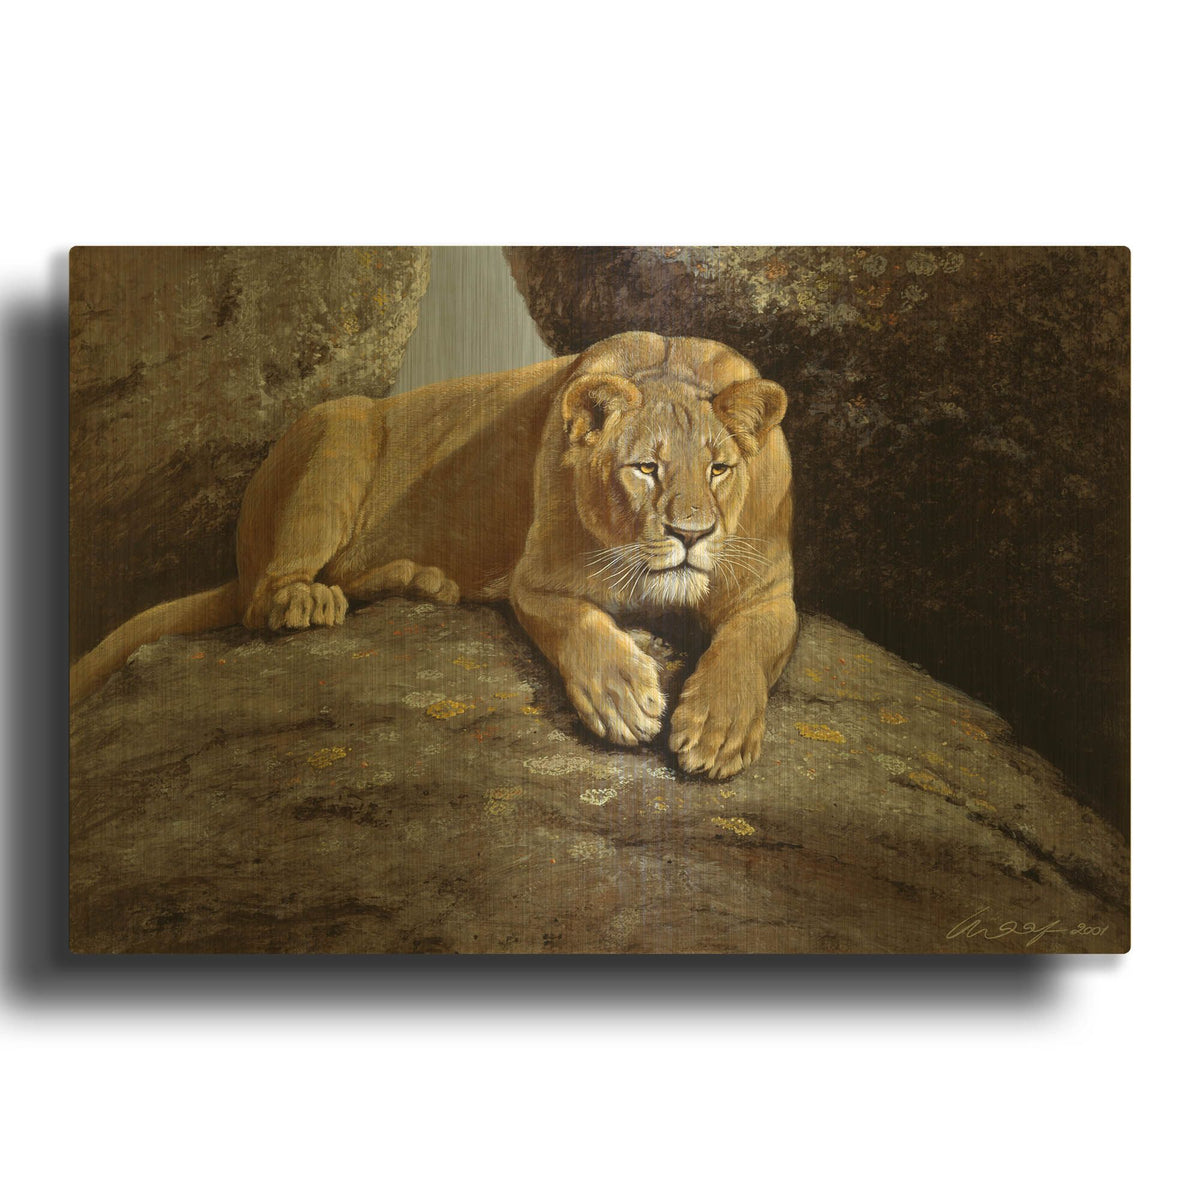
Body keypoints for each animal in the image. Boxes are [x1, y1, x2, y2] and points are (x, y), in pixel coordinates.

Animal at [70, 331, 798, 779]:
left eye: (721, 469)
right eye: (646, 468)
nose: (692, 534)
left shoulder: (771, 595)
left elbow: (747, 647)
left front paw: (718, 731)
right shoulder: (537, 580)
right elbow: (577, 625)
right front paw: (622, 697)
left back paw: (421, 580)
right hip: (340, 428)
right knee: (260, 599)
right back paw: (310, 598)